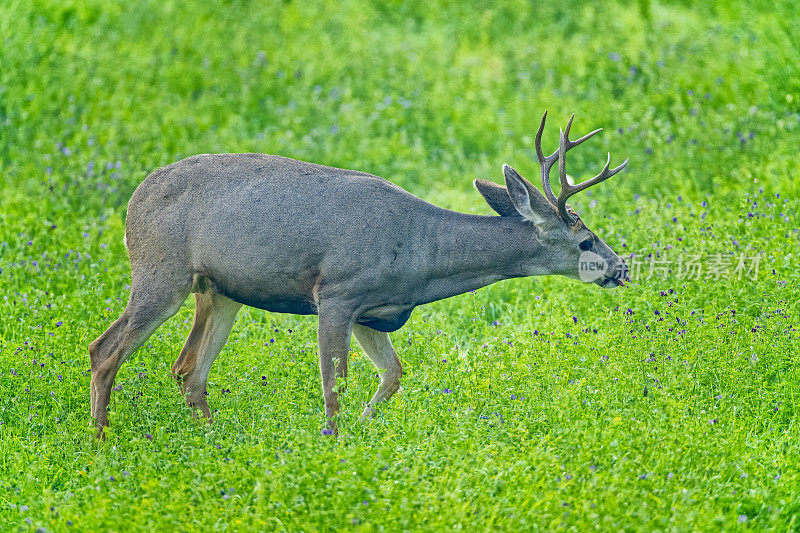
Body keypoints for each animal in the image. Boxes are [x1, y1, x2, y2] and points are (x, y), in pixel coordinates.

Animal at [86, 111, 624, 436]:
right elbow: (334, 384)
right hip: (161, 271)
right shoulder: (337, 293)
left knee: (188, 370)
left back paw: (212, 439)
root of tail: (133, 201)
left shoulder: (374, 311)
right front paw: (332, 441)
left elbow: (393, 374)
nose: (620, 267)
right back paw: (101, 440)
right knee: (104, 349)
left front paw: (365, 428)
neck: (422, 254)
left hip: (219, 292)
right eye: (585, 240)